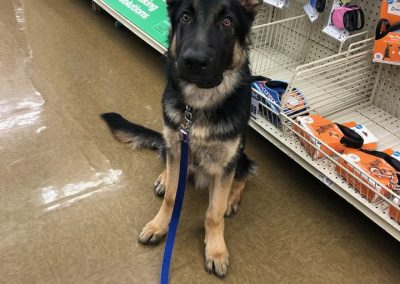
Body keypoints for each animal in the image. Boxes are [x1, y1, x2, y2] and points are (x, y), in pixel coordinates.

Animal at [101, 0, 260, 278]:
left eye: (227, 21)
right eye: (185, 17)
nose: (194, 61)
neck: (197, 106)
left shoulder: (227, 163)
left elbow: (214, 212)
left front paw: (215, 250)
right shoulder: (177, 147)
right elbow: (172, 198)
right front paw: (159, 225)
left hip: (241, 157)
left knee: (243, 177)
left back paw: (232, 198)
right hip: (171, 144)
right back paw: (165, 178)